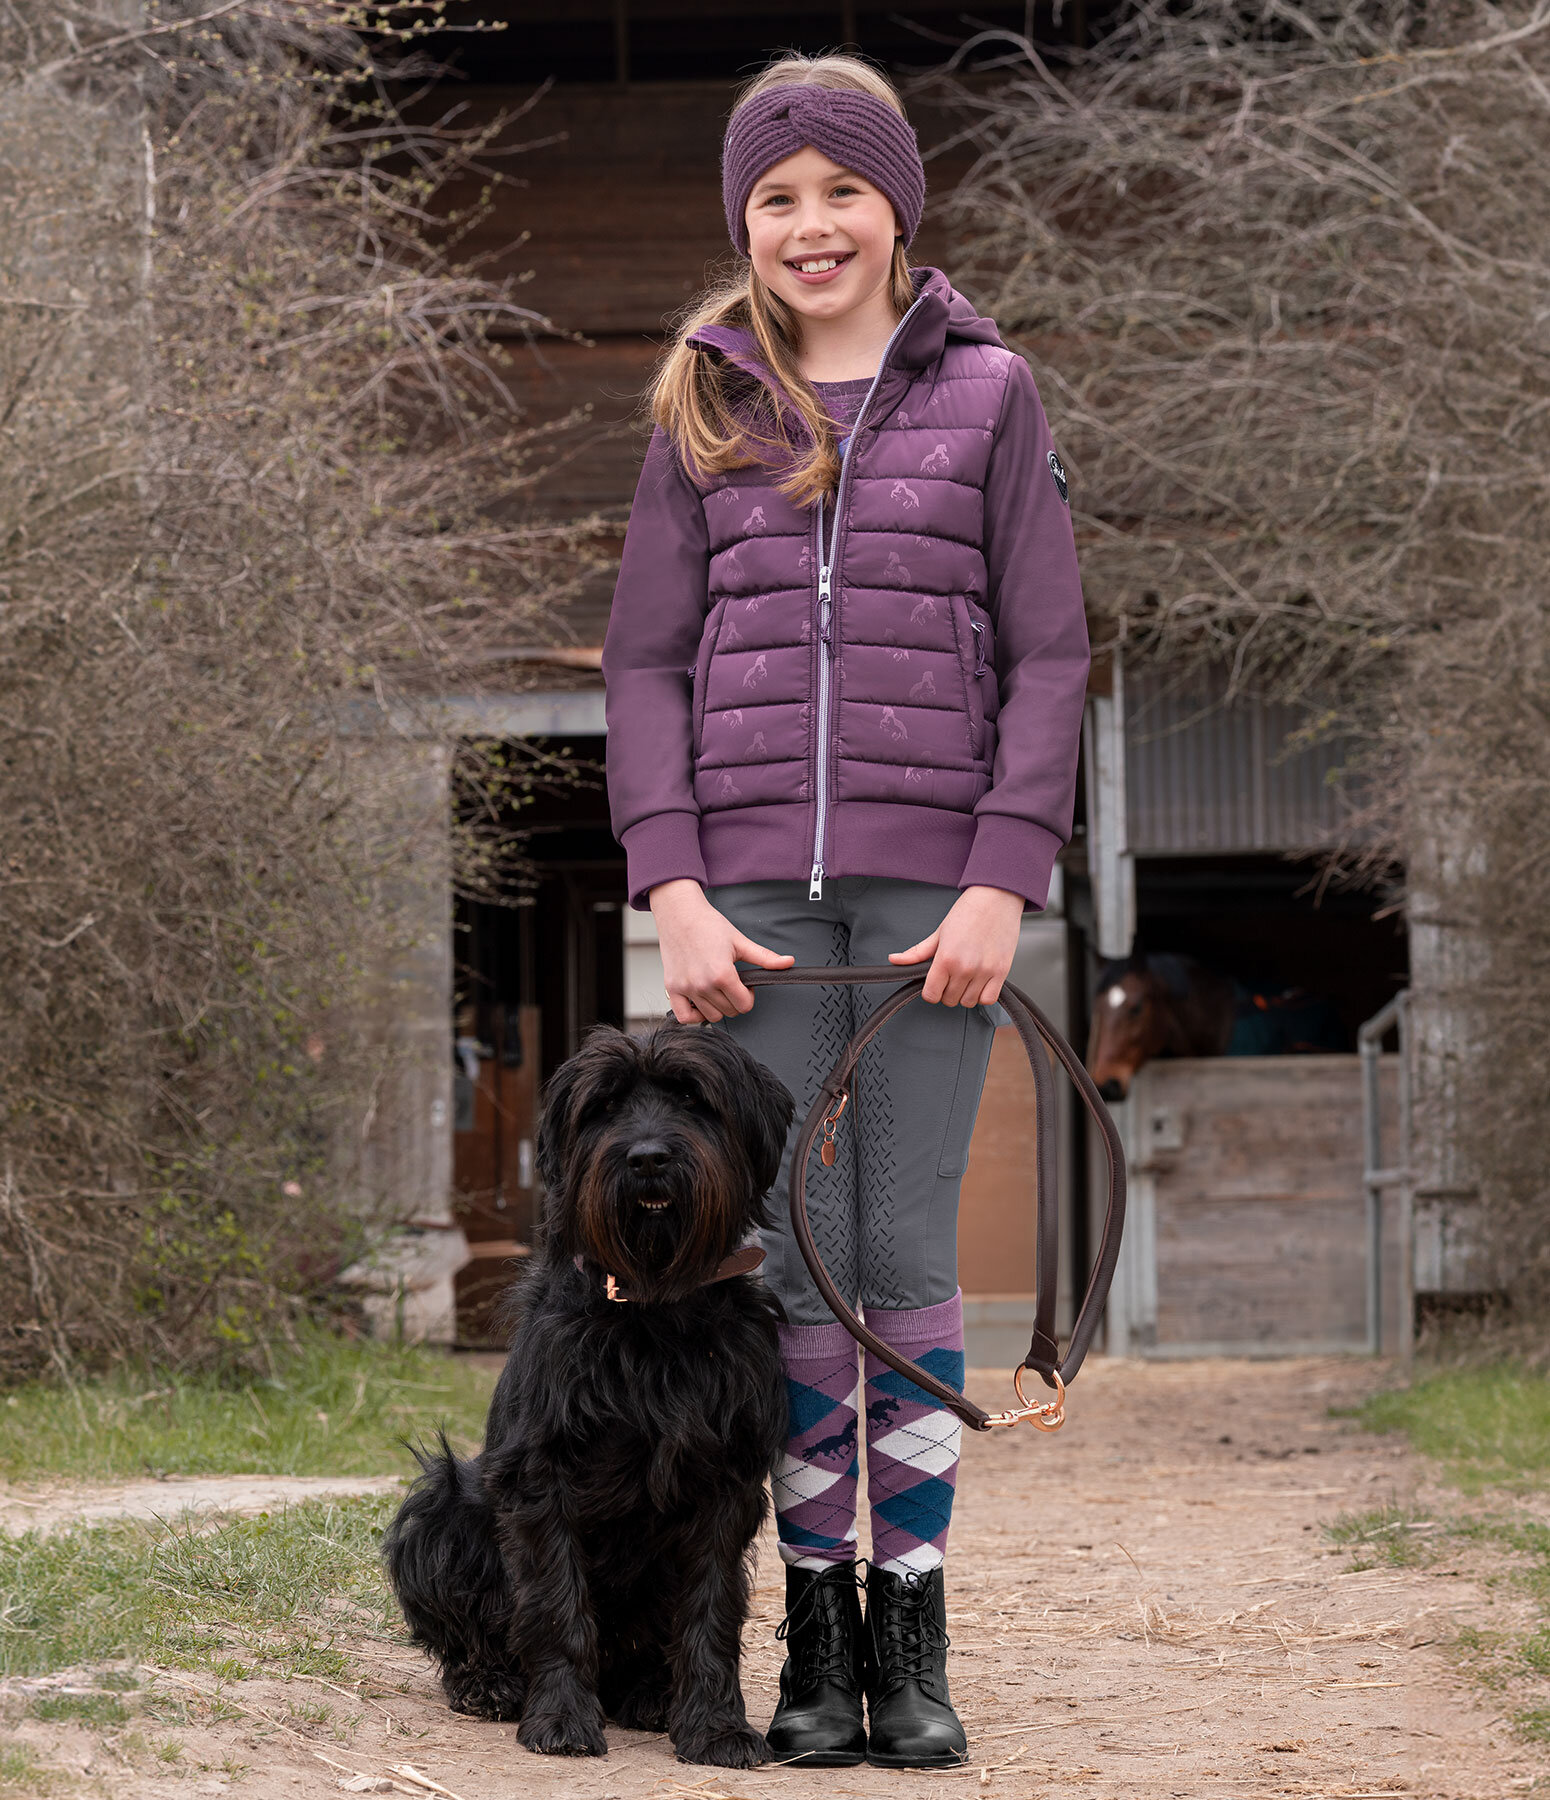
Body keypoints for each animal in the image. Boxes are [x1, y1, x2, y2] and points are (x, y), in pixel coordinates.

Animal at [385, 1022, 792, 1764]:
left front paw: (716, 1725)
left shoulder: (725, 1482)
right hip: (443, 1507)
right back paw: (487, 1683)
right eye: (603, 1107)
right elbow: (555, 1604)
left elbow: (711, 1611)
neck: (654, 1310)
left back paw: (652, 1694)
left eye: (693, 1099)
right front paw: (560, 1718)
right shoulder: (541, 1476)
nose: (648, 1157)